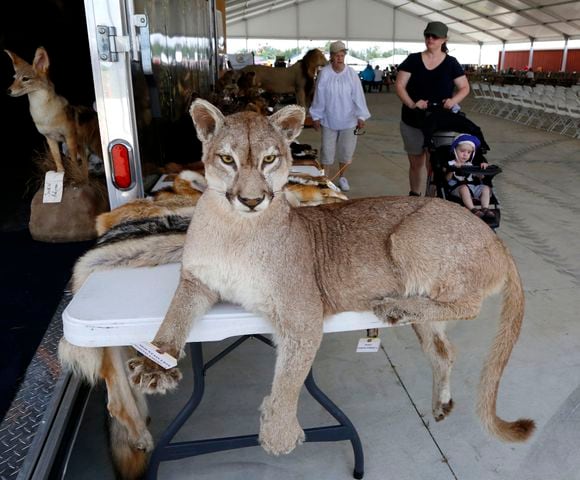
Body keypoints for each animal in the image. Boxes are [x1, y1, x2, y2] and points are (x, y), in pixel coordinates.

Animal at [4, 47, 101, 179]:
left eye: (25, 79)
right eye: (14, 79)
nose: (8, 91)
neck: (44, 115)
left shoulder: (69, 138)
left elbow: (73, 162)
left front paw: (74, 175)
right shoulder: (50, 139)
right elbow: (58, 161)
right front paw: (60, 175)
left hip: (93, 147)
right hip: (82, 147)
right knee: (85, 167)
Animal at [124, 99, 536, 456]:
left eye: (270, 159)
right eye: (227, 159)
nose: (252, 200)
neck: (234, 229)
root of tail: (496, 239)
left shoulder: (302, 313)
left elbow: (290, 375)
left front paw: (279, 432)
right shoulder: (196, 282)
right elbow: (174, 316)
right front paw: (154, 362)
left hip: (408, 235)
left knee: (469, 305)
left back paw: (393, 307)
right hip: (426, 304)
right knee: (443, 348)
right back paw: (438, 396)